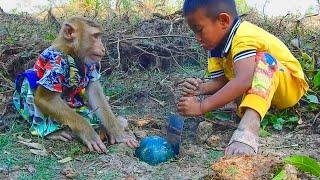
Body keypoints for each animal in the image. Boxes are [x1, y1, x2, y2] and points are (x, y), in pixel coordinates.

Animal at [13, 16, 138, 153]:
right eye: (95, 36)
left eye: (99, 36)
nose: (102, 48)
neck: (71, 51)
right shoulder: (56, 61)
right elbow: (45, 99)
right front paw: (89, 134)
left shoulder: (90, 63)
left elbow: (94, 92)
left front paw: (117, 133)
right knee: (32, 86)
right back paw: (53, 132)